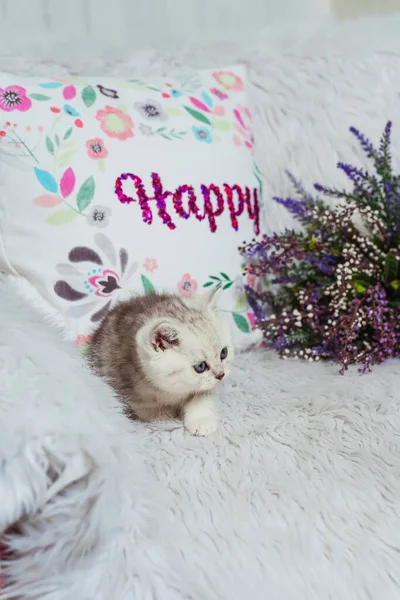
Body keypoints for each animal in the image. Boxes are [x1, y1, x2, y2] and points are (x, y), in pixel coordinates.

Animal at [87, 288, 231, 436]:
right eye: (201, 366)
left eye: (224, 353)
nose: (221, 374)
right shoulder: (122, 384)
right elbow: (145, 408)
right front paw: (163, 415)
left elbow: (202, 395)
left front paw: (202, 420)